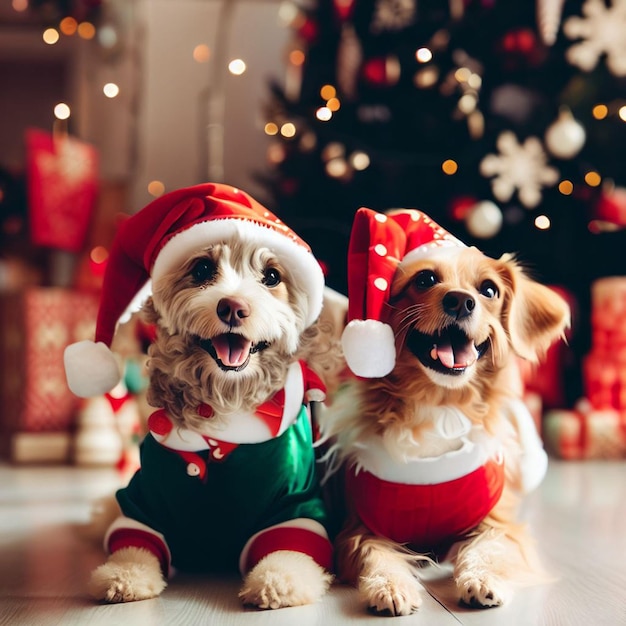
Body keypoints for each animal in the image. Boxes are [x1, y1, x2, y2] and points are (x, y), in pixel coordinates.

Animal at [320, 206, 568, 616]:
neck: (441, 406)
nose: (460, 301)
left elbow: (486, 549)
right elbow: (377, 556)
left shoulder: (499, 524)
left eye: (488, 290)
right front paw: (389, 586)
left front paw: (482, 580)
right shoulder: (360, 529)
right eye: (425, 279)